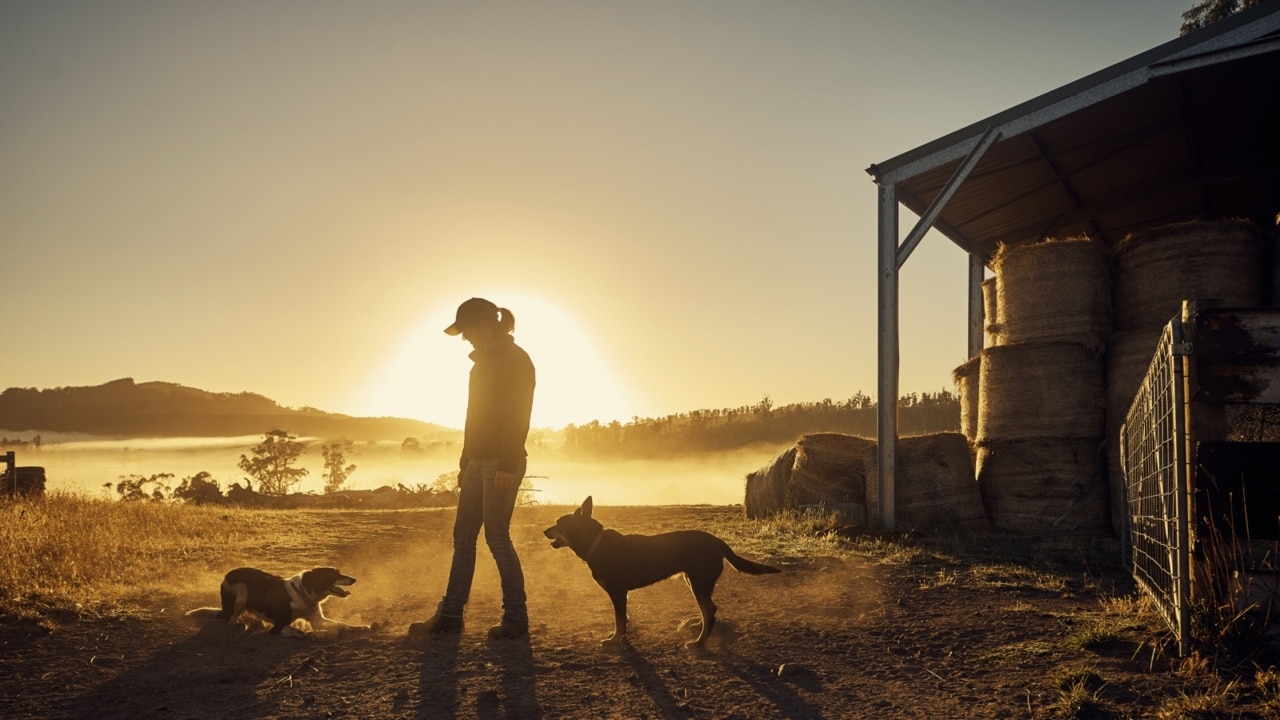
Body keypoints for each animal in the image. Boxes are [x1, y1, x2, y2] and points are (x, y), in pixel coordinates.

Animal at [186, 566, 373, 632]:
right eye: (334, 574)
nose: (354, 579)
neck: (303, 595)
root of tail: (227, 574)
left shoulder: (318, 620)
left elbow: (344, 625)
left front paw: (363, 627)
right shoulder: (279, 625)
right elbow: (293, 630)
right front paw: (305, 634)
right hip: (241, 592)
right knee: (229, 619)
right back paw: (238, 623)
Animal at [542, 491, 778, 645]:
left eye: (558, 523)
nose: (544, 531)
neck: (597, 544)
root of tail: (719, 542)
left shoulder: (617, 592)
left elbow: (619, 621)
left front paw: (615, 639)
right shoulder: (622, 594)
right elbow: (623, 619)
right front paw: (621, 635)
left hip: (698, 583)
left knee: (709, 614)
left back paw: (698, 642)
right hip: (694, 582)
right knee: (711, 610)